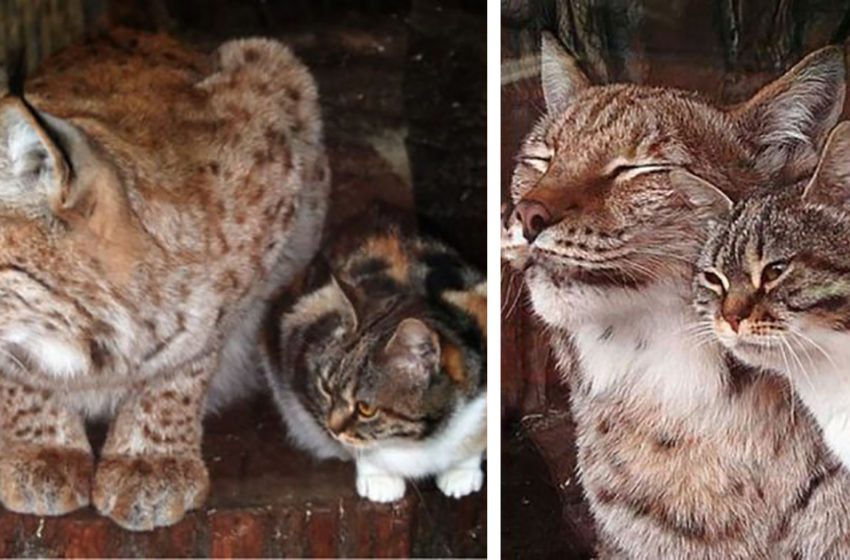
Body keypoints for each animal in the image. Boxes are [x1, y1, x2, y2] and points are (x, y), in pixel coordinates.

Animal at [260, 213, 484, 504]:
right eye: (326, 389)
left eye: (366, 408)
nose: (332, 429)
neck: (422, 440)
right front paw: (380, 479)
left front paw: (462, 473)